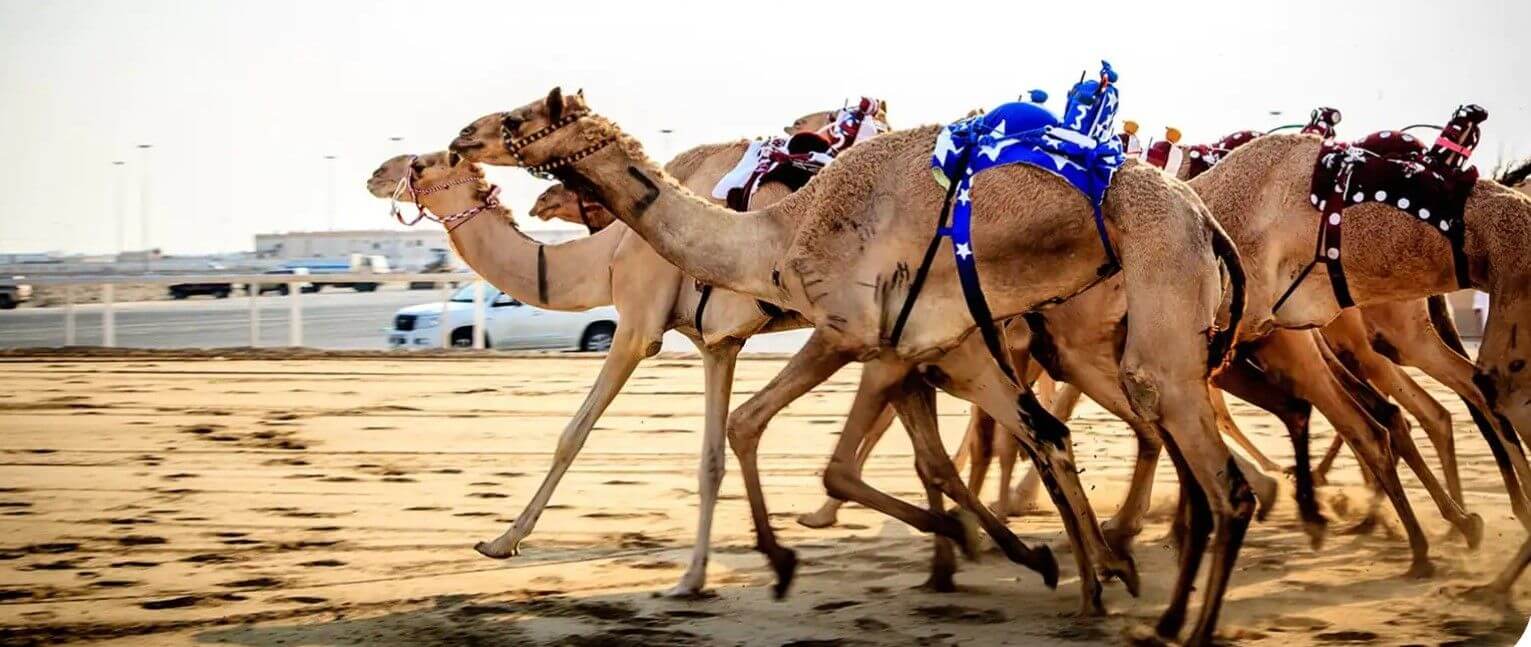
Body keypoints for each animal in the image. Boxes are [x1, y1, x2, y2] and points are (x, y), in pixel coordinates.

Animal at [362, 102, 891, 599]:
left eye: (423, 164)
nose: (376, 173)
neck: (612, 254)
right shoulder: (718, 343)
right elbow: (711, 459)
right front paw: (693, 576)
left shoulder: (637, 327)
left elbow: (572, 434)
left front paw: (503, 541)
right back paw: (827, 513)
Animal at [452, 86, 1253, 642]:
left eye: (521, 117)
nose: (461, 136)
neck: (777, 235)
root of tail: (1202, 216)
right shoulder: (935, 344)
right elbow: (999, 445)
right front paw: (1051, 567)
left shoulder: (859, 335)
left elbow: (754, 430)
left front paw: (778, 562)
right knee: (1111, 441)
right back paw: (1126, 581)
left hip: (1154, 318)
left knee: (1218, 479)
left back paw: (1180, 611)